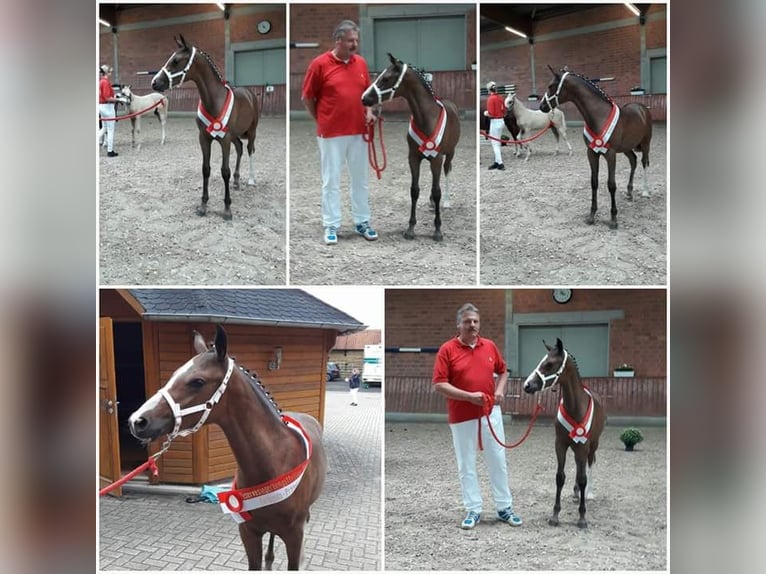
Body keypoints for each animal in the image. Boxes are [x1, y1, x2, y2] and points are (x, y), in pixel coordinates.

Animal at [129, 324, 328, 572]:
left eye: (197, 381)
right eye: (174, 375)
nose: (137, 421)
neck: (276, 461)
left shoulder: (294, 537)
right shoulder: (248, 533)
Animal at [152, 35, 260, 220]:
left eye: (175, 61)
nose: (155, 82)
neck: (214, 100)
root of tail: (249, 93)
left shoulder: (224, 140)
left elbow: (224, 171)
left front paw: (227, 209)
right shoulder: (204, 138)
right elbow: (206, 169)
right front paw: (203, 206)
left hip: (251, 132)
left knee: (249, 151)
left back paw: (251, 180)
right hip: (235, 136)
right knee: (239, 149)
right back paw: (236, 181)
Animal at [362, 53, 462, 242]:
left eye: (386, 78)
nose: (364, 98)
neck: (426, 118)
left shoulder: (436, 159)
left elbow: (436, 191)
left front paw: (437, 230)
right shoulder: (413, 158)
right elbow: (414, 190)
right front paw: (410, 228)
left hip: (449, 154)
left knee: (446, 173)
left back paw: (446, 202)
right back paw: (432, 204)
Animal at [520, 338, 608, 532]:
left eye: (549, 364)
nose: (527, 385)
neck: (575, 407)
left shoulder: (583, 446)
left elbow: (583, 478)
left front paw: (582, 517)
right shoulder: (560, 444)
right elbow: (560, 477)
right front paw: (555, 515)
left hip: (592, 445)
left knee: (589, 466)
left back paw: (588, 493)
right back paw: (576, 493)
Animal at [540, 66, 656, 231]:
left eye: (550, 86)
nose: (542, 106)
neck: (600, 116)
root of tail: (641, 108)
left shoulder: (611, 154)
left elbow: (611, 184)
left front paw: (613, 219)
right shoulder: (592, 153)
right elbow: (594, 182)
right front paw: (592, 216)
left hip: (646, 144)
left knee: (644, 162)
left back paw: (646, 191)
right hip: (626, 147)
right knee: (633, 161)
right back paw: (629, 192)